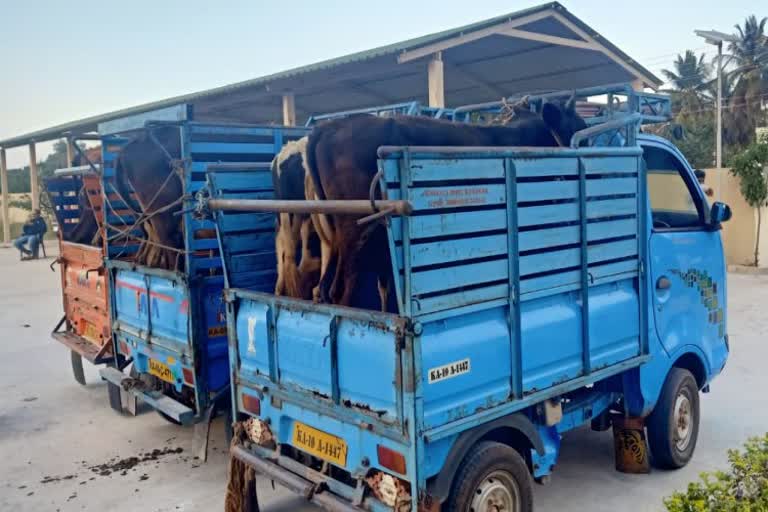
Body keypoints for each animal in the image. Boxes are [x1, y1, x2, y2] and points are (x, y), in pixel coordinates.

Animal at [306, 98, 588, 310]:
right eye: (581, 135)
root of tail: (328, 128)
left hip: (334, 238)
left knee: (322, 289)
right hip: (354, 232)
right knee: (341, 290)